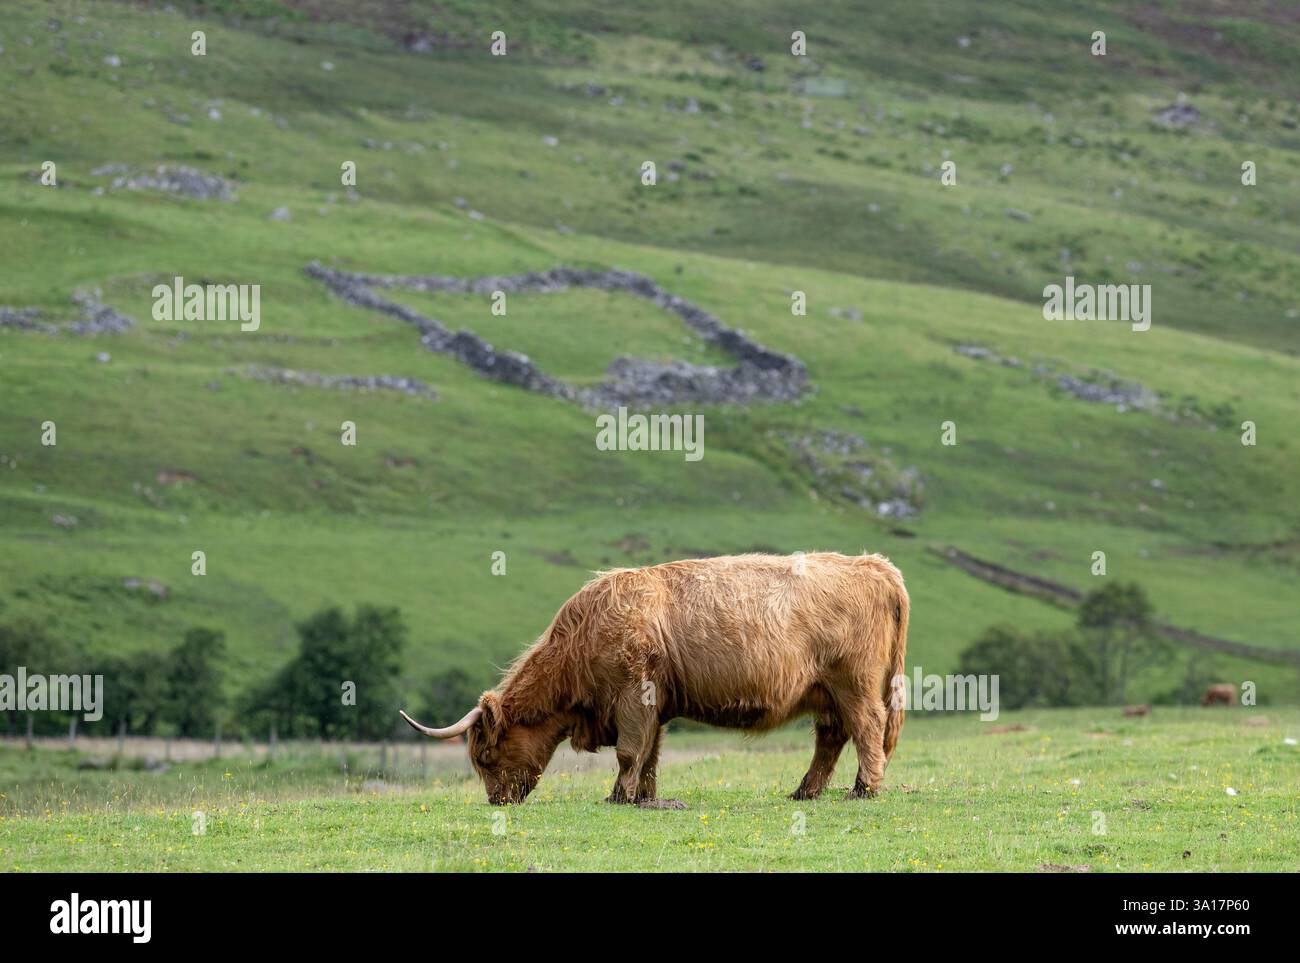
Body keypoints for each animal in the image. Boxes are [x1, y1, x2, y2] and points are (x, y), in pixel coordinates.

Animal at [401, 552, 909, 807]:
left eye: (486, 757)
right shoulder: (656, 703)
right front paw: (644, 796)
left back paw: (864, 790)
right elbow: (650, 754)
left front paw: (618, 796)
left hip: (853, 683)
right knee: (832, 737)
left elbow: (630, 751)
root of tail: (874, 563)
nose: (496, 801)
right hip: (825, 692)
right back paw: (805, 791)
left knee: (867, 727)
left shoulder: (633, 695)